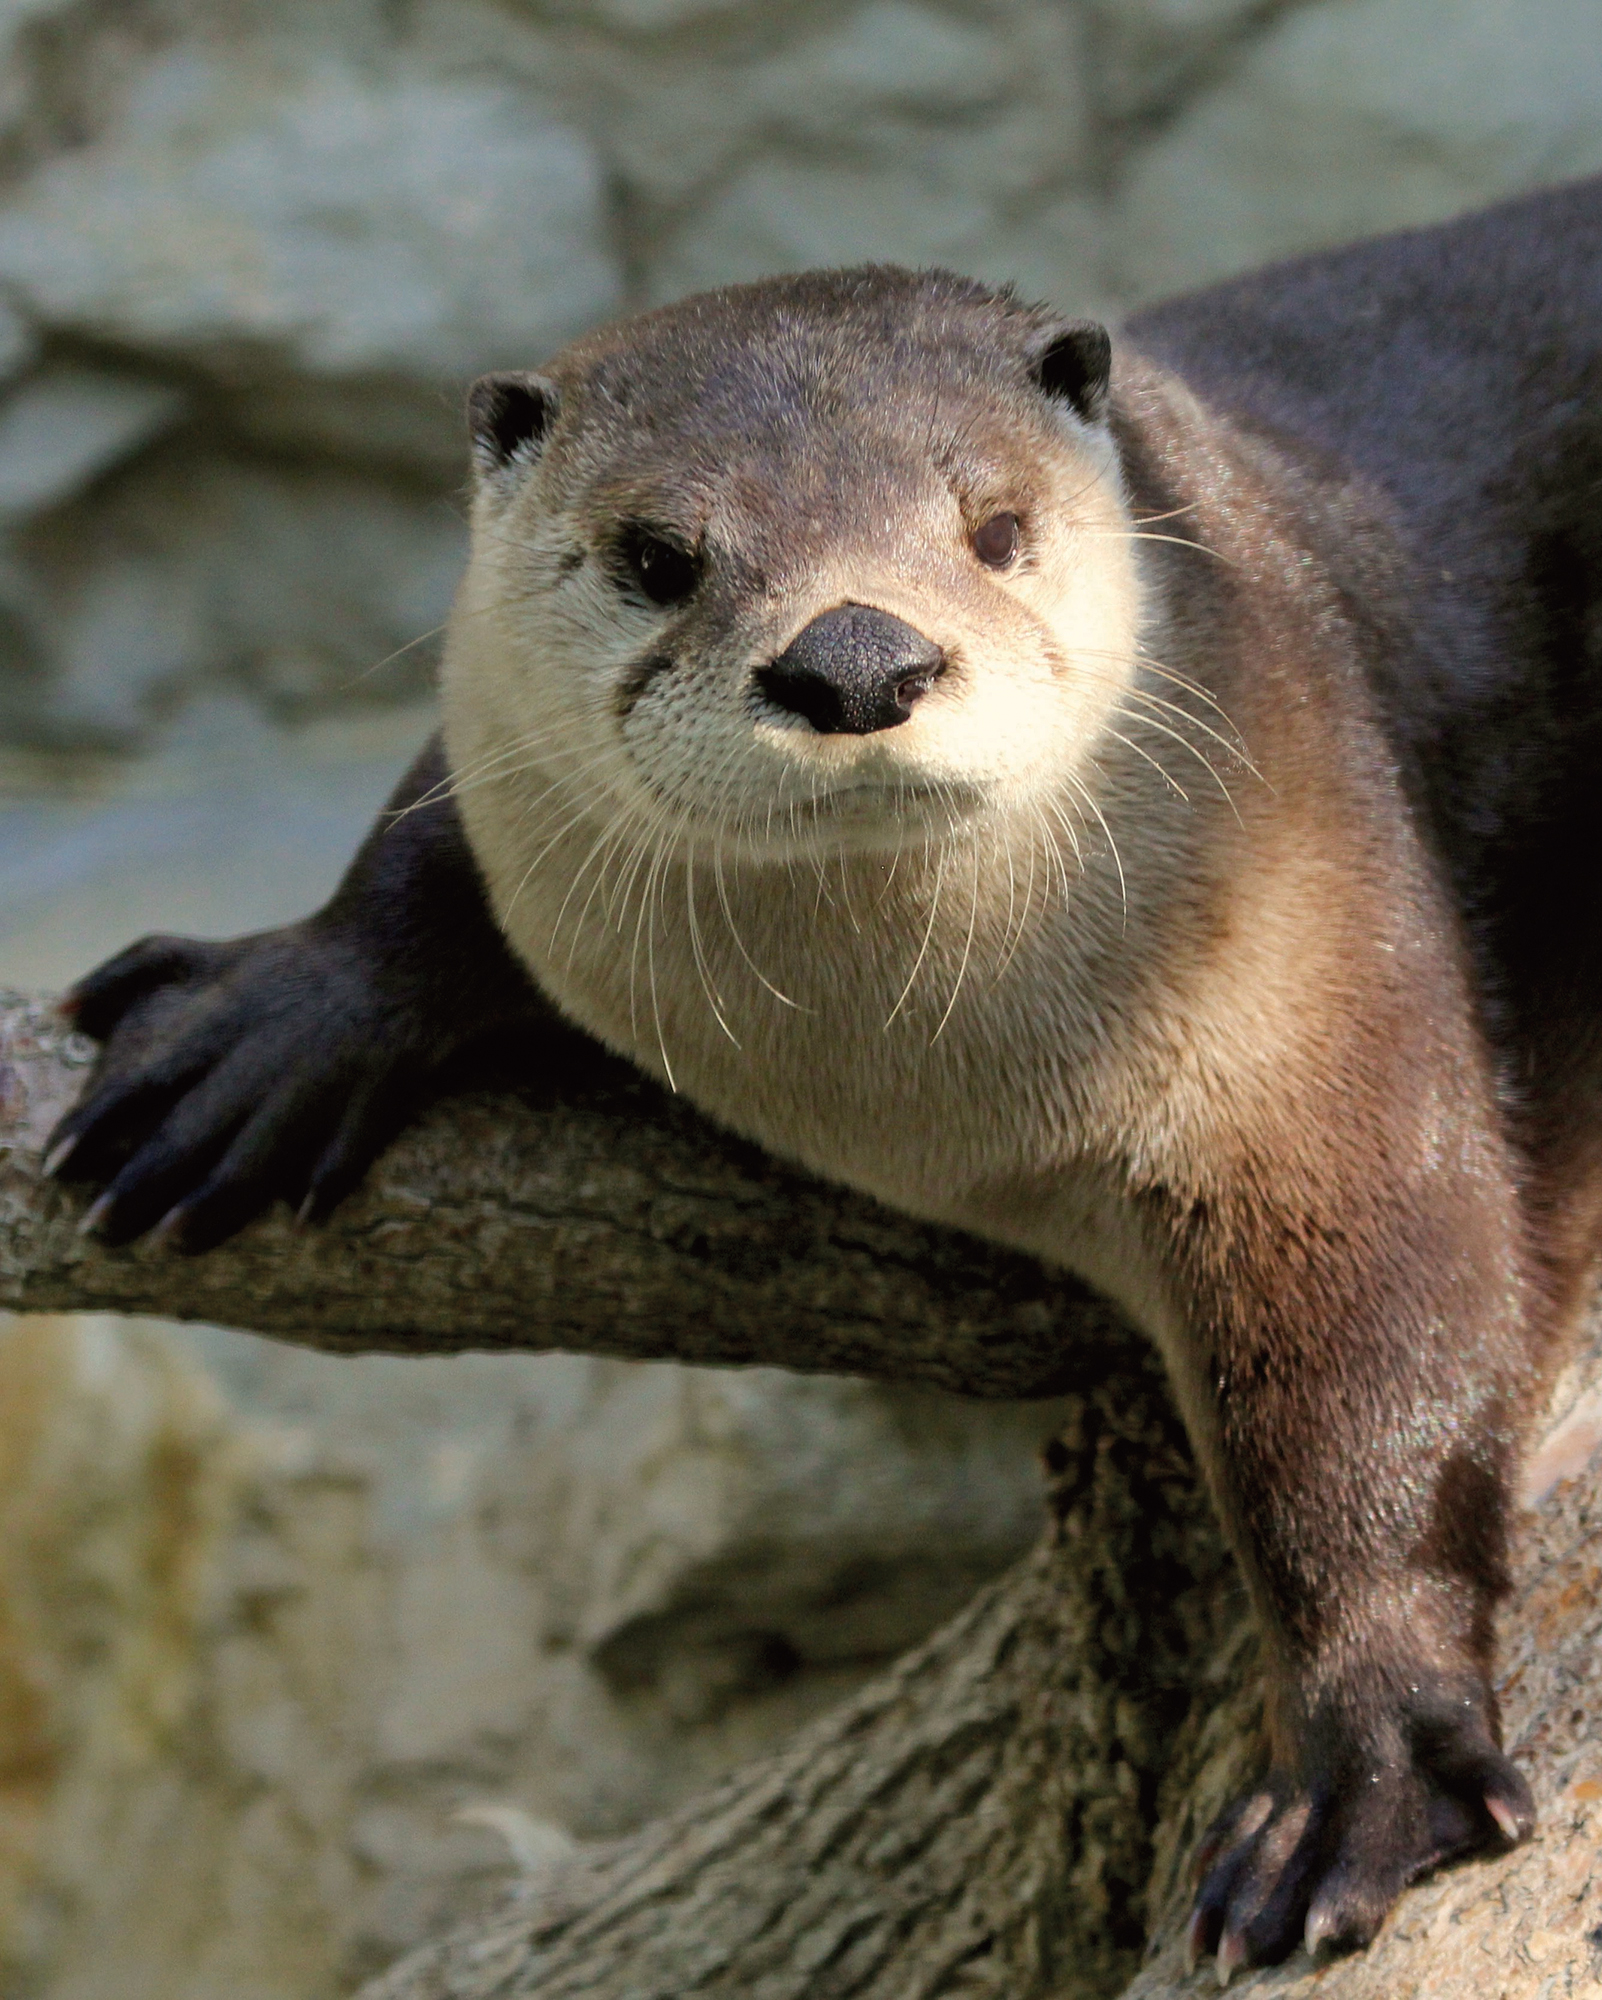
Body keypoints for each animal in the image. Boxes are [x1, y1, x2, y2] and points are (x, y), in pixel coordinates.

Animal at [37, 176, 1600, 1984]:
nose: (854, 659)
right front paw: (277, 1013)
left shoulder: (1312, 970)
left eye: (995, 529)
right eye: (659, 558)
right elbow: (433, 835)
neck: (920, 1083)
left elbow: (1386, 1370)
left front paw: (1371, 1762)